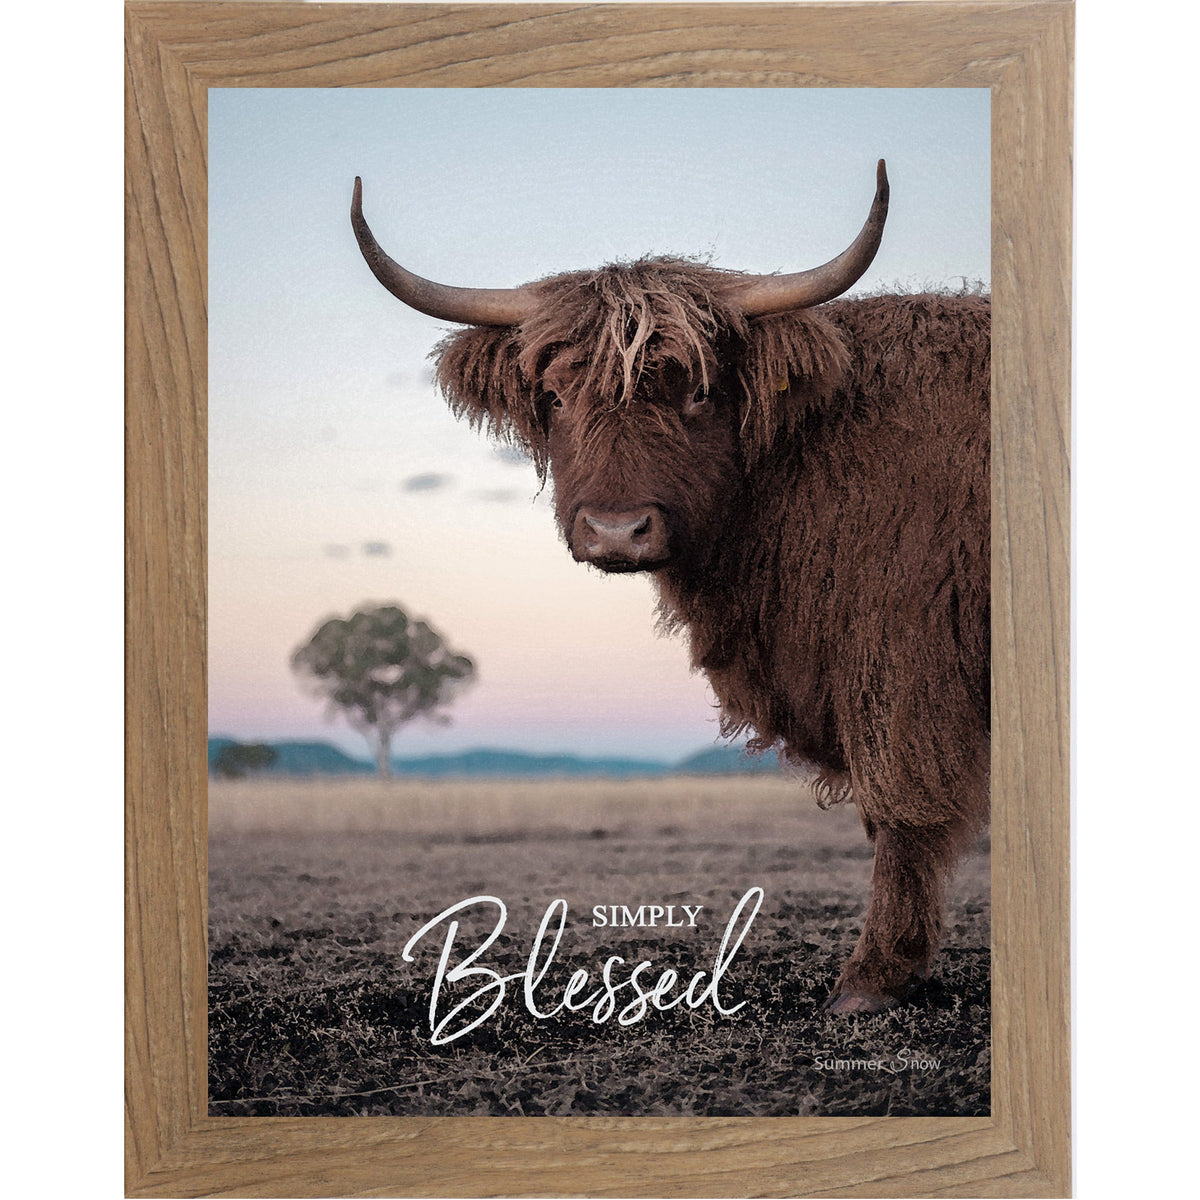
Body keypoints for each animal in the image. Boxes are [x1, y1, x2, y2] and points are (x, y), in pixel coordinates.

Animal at [351, 162, 990, 1014]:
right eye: (556, 397)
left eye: (697, 392)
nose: (617, 531)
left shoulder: (903, 658)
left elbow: (899, 811)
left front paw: (872, 977)